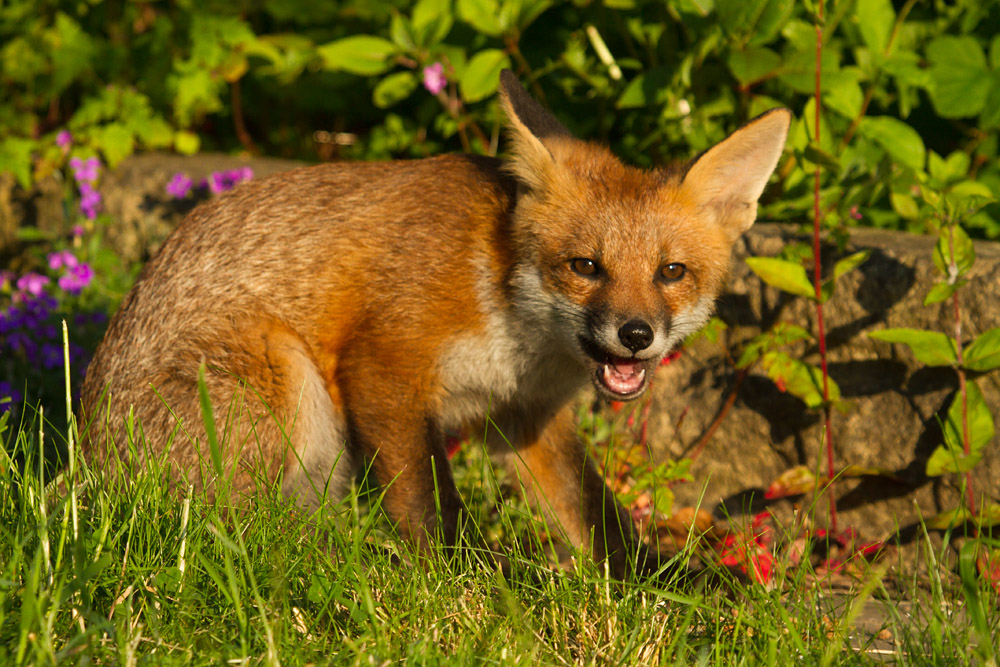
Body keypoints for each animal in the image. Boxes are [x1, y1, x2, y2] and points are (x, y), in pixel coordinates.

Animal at [80, 70, 790, 579]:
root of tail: (90, 471)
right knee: (239, 537)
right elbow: (432, 509)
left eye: (671, 272)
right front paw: (474, 581)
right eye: (586, 266)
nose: (637, 334)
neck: (508, 313)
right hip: (288, 378)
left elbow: (597, 517)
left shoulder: (527, 416)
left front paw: (664, 585)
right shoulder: (383, 367)